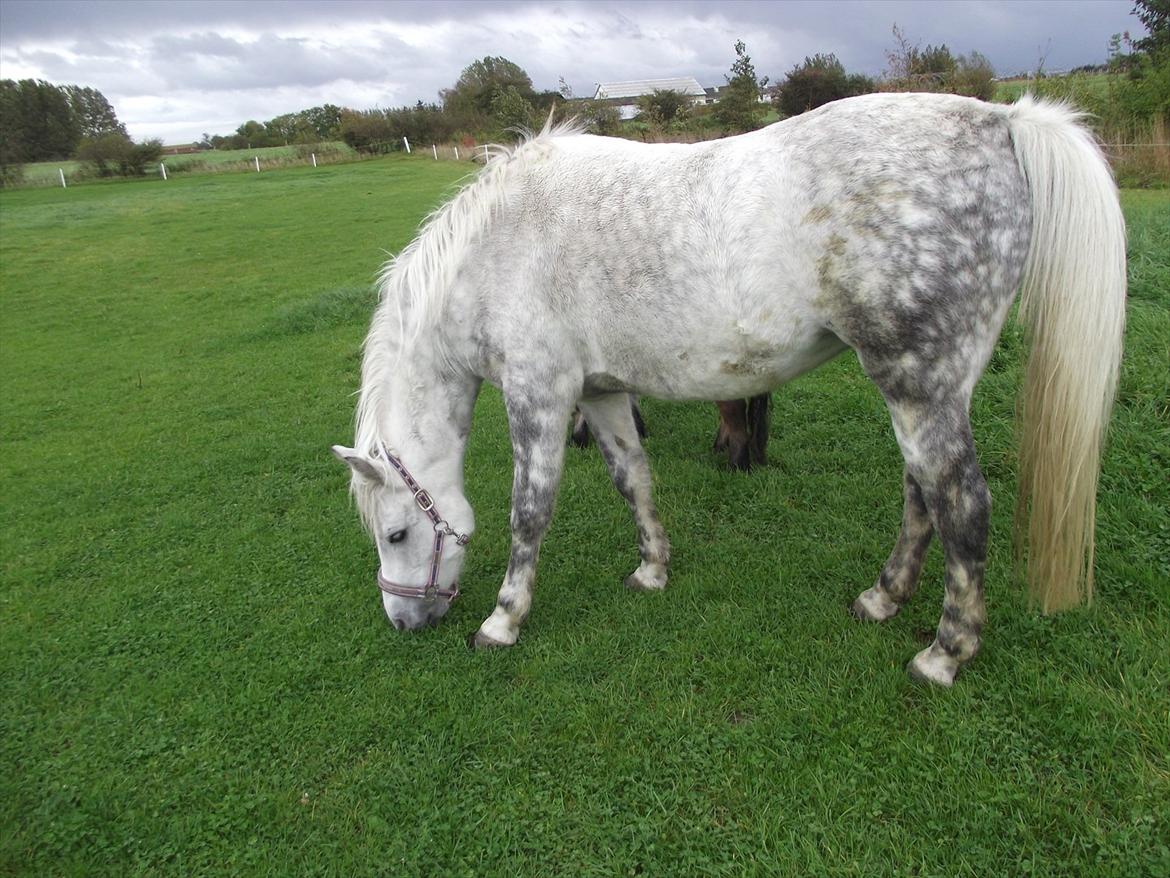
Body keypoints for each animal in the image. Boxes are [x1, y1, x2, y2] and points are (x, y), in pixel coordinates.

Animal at [332, 94, 1123, 688]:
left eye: (397, 533)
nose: (405, 622)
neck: (498, 248)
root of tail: (1000, 119)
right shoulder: (600, 393)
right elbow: (632, 478)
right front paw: (652, 568)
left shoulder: (539, 395)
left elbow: (530, 512)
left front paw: (503, 619)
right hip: (925, 392)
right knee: (921, 495)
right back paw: (883, 598)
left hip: (919, 386)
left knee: (960, 505)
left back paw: (944, 653)